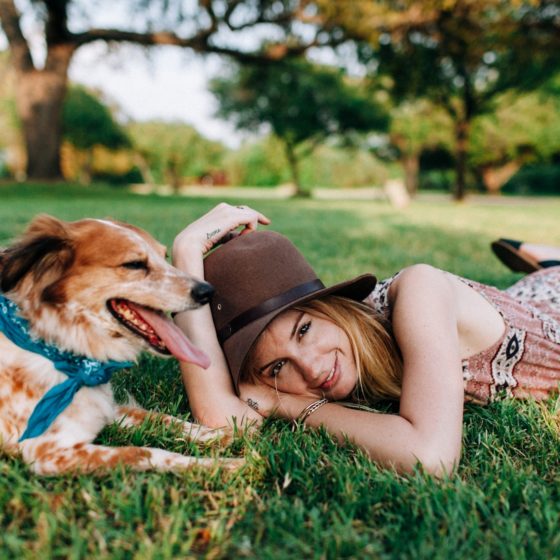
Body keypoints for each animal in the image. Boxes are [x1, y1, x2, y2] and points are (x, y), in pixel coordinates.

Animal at [0, 214, 241, 472]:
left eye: (164, 256)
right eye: (134, 264)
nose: (208, 292)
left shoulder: (108, 409)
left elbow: (162, 418)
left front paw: (224, 434)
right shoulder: (50, 454)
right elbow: (147, 452)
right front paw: (223, 465)